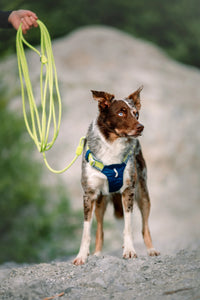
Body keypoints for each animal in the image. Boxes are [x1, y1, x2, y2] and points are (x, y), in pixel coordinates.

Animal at [73, 86, 159, 264]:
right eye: (121, 113)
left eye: (136, 113)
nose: (141, 127)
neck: (113, 146)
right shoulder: (89, 194)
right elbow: (86, 231)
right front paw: (81, 256)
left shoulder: (128, 191)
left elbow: (128, 226)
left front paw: (130, 250)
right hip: (101, 202)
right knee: (99, 229)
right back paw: (97, 253)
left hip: (143, 194)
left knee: (144, 226)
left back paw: (151, 249)